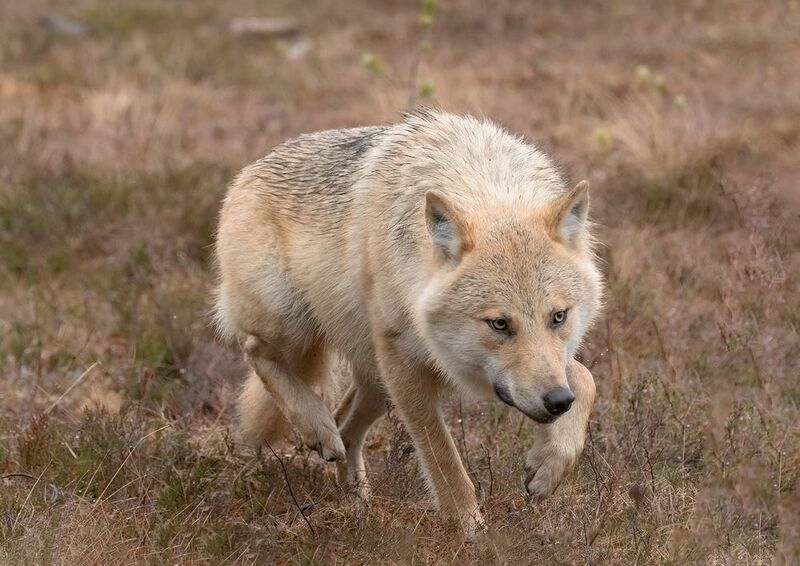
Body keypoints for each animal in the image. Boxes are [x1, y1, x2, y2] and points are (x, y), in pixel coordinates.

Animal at [213, 110, 603, 533]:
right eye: (499, 324)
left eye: (559, 317)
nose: (557, 401)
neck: (483, 180)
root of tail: (247, 172)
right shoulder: (405, 363)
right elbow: (443, 458)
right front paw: (470, 530)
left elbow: (587, 379)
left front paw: (547, 469)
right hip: (296, 327)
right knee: (256, 350)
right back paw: (318, 429)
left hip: (377, 381)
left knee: (346, 427)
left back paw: (358, 504)